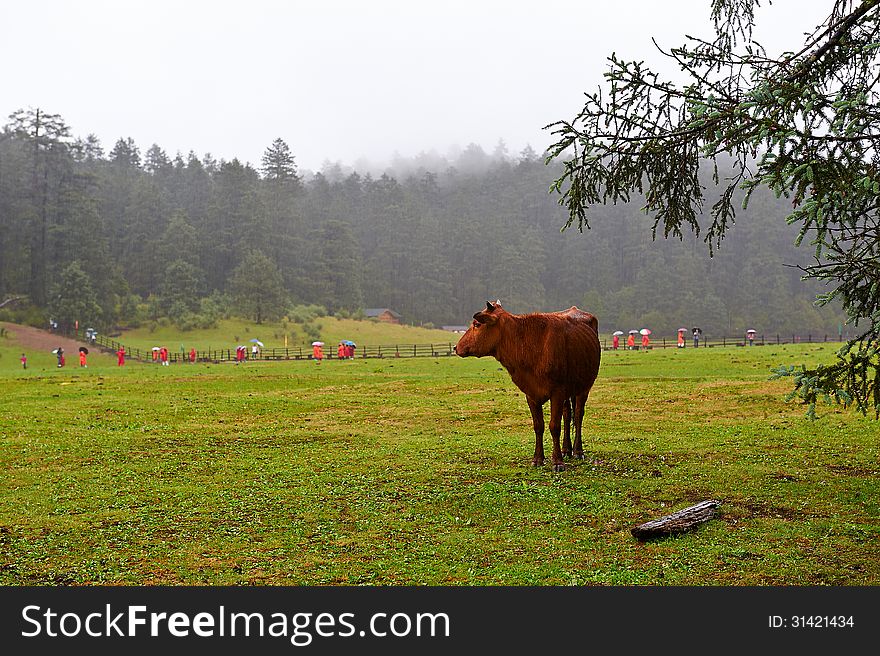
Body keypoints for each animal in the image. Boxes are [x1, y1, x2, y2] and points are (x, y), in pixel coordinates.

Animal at [454, 300, 600, 468]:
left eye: (477, 324)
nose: (456, 347)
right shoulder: (531, 393)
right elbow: (538, 426)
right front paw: (538, 458)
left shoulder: (557, 392)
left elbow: (554, 426)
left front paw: (557, 461)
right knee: (567, 415)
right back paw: (566, 449)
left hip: (584, 387)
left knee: (577, 416)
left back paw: (577, 451)